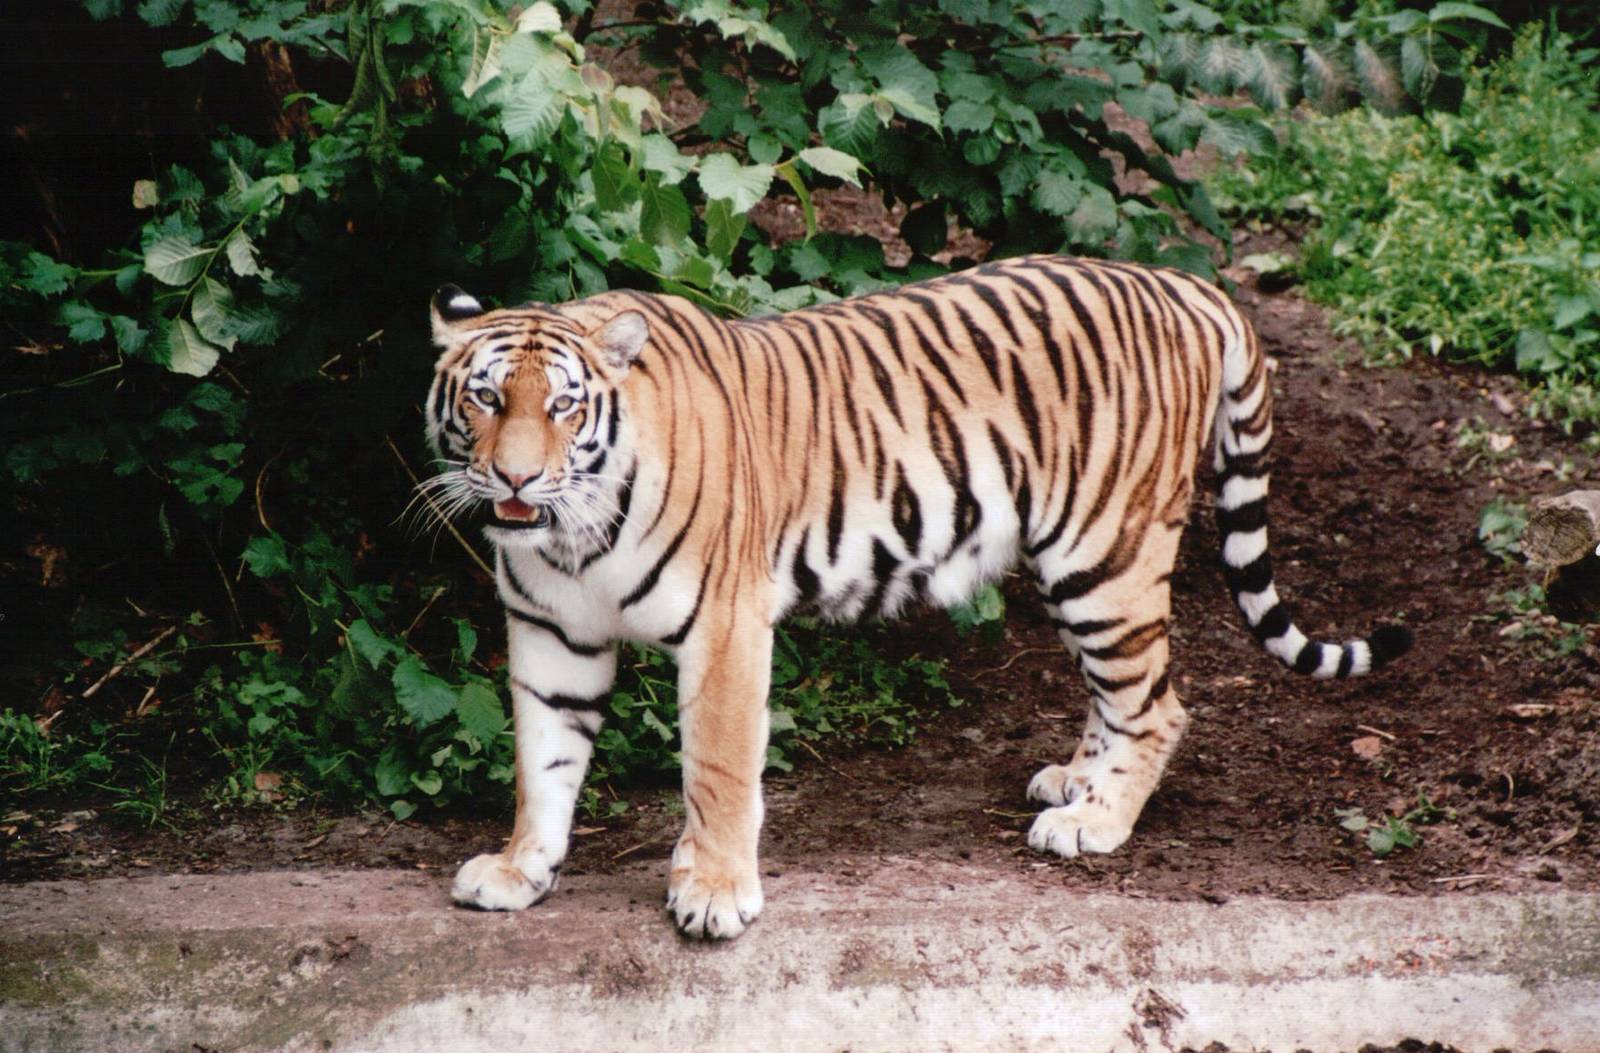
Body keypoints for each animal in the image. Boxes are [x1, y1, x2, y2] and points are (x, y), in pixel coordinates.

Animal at [423, 254, 1410, 940]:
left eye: (562, 407)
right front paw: (520, 870)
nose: (515, 479)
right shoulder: (552, 635)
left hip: (1107, 552)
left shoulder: (726, 629)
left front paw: (713, 892)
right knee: (1115, 694)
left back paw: (1094, 823)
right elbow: (542, 764)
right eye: (485, 399)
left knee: (1159, 705)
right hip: (1068, 564)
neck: (569, 536)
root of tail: (1185, 283)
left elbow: (717, 769)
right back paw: (1076, 782)